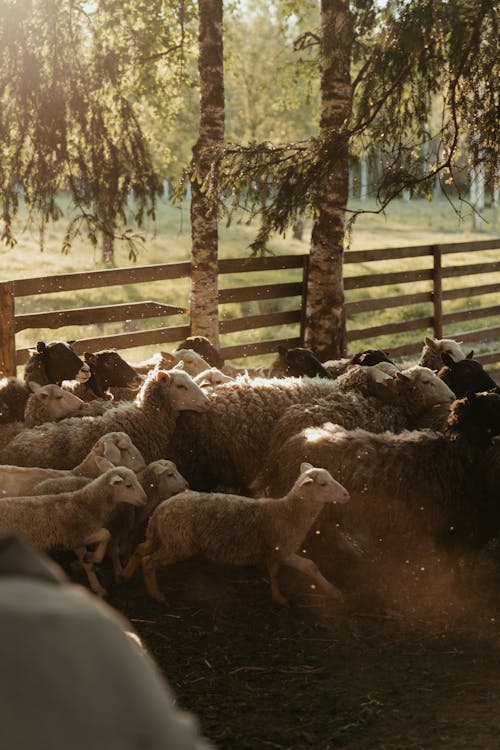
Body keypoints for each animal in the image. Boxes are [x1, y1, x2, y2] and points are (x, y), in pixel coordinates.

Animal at [0, 468, 146, 596]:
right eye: (128, 485)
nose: (144, 499)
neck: (86, 504)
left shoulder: (76, 543)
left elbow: (87, 563)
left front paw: (96, 584)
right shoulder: (76, 536)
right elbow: (106, 533)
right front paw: (95, 558)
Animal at [120, 462, 348, 608]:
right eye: (323, 484)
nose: (346, 494)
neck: (288, 513)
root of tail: (160, 510)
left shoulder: (273, 552)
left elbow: (274, 573)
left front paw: (278, 597)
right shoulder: (283, 550)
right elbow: (311, 566)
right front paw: (334, 591)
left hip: (162, 537)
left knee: (140, 549)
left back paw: (126, 575)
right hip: (178, 544)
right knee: (149, 561)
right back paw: (156, 595)